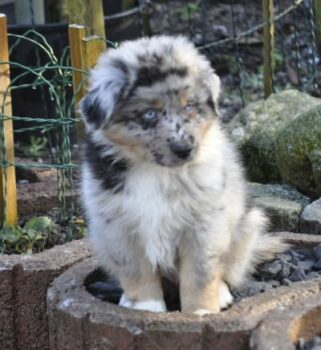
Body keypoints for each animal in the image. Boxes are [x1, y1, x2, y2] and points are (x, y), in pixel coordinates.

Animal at [80, 35, 284, 314]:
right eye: (150, 114)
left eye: (189, 106)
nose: (185, 149)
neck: (156, 171)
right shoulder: (117, 225)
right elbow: (135, 269)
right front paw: (146, 307)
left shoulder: (205, 225)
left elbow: (201, 272)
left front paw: (200, 311)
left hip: (248, 226)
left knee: (227, 271)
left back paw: (221, 294)